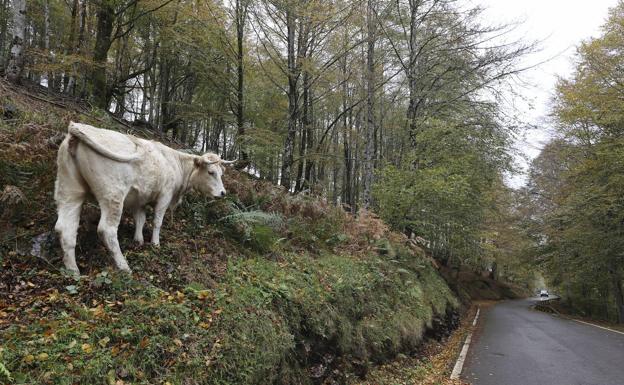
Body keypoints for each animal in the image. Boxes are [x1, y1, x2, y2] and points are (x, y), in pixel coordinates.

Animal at [54, 121, 232, 274]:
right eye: (211, 172)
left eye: (221, 173)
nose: (223, 193)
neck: (174, 163)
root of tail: (79, 127)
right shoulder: (165, 195)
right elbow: (157, 221)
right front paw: (155, 243)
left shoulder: (140, 199)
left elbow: (140, 219)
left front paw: (138, 240)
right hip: (113, 196)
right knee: (107, 230)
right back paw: (124, 267)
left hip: (69, 191)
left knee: (65, 229)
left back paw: (73, 271)